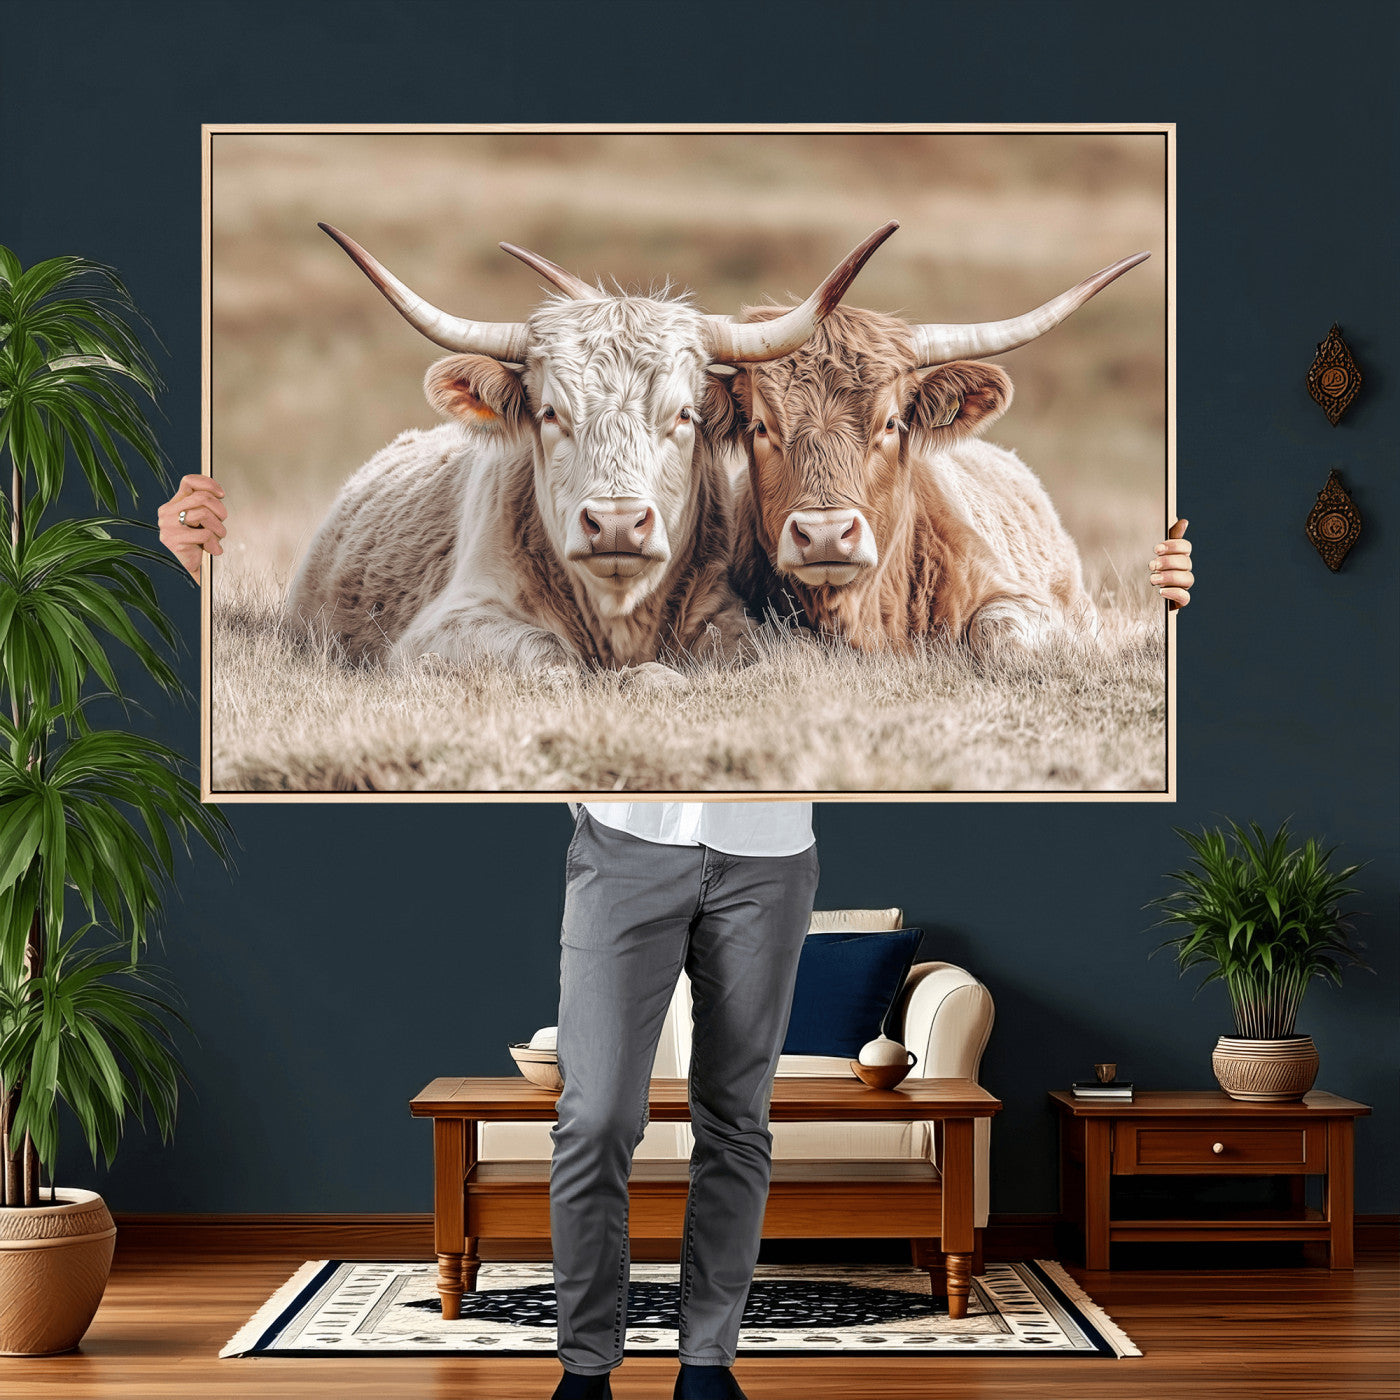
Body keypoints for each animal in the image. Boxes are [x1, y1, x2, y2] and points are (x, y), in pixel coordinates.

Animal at [283, 220, 898, 673]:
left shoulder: (731, 614)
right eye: (551, 414)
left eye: (684, 414)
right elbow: (549, 656)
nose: (618, 524)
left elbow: (776, 654)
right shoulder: (445, 629)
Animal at [710, 254, 1153, 653]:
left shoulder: (1026, 602)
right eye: (761, 427)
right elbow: (783, 640)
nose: (825, 536)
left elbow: (996, 631)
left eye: (891, 423)